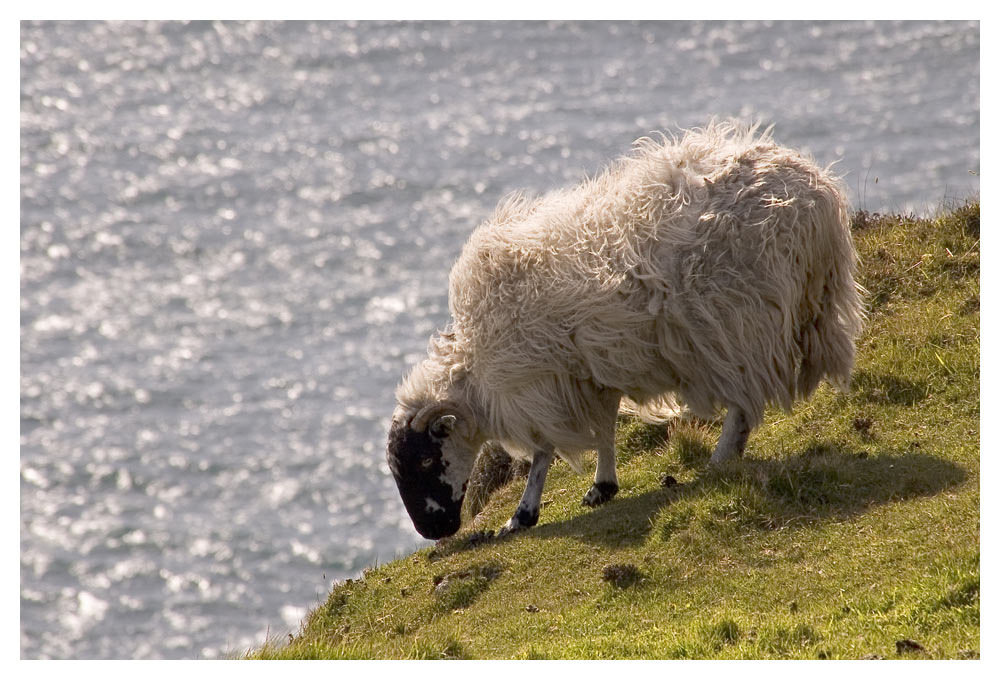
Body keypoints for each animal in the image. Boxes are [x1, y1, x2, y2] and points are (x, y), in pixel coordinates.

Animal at [386, 119, 864, 540]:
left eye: (425, 463)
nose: (433, 532)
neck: (474, 370)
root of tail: (817, 198)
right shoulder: (591, 368)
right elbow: (605, 426)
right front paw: (603, 485)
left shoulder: (539, 383)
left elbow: (544, 452)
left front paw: (522, 514)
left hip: (737, 321)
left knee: (743, 403)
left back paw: (721, 458)